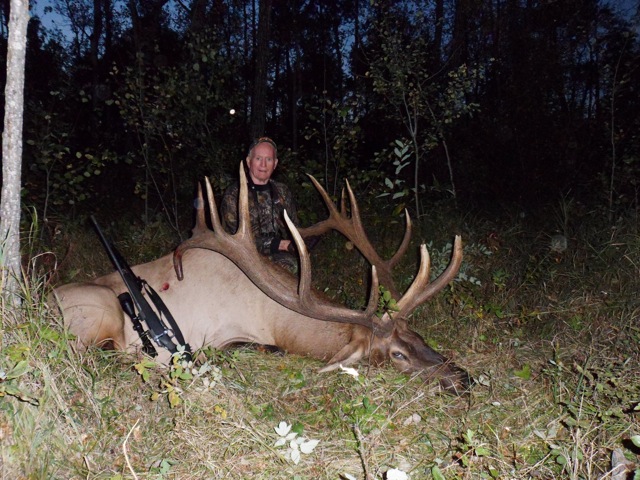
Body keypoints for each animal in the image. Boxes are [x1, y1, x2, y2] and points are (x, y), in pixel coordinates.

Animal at [54, 164, 470, 394]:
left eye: (419, 335)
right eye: (398, 355)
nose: (462, 378)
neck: (273, 316)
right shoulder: (217, 335)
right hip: (98, 310)